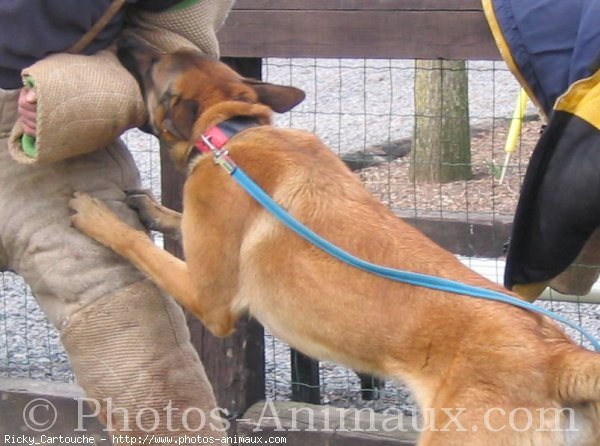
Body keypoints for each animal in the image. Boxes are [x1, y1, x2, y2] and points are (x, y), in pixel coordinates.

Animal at [71, 38, 600, 446]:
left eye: (152, 65)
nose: (122, 44)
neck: (234, 129)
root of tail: (558, 357)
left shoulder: (209, 300)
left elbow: (139, 246)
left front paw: (100, 217)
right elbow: (177, 222)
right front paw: (153, 210)